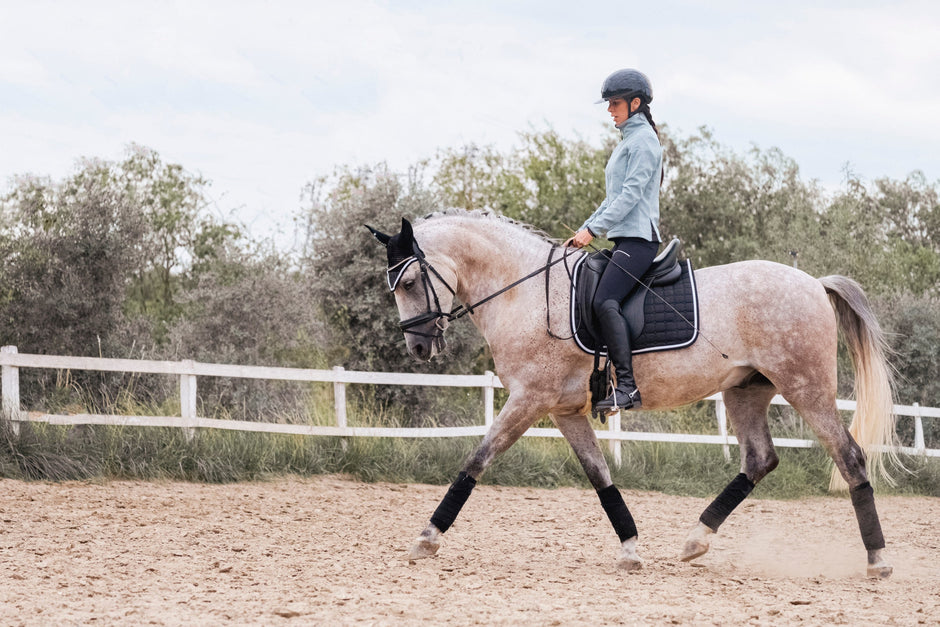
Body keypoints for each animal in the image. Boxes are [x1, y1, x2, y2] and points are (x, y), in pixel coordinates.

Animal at [366, 210, 896, 580]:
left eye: (409, 282)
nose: (418, 346)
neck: (526, 294)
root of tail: (815, 284)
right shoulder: (563, 411)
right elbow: (600, 478)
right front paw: (630, 549)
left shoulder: (528, 400)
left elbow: (476, 461)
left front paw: (427, 539)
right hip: (745, 392)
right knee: (760, 459)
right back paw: (695, 541)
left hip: (806, 388)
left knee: (849, 456)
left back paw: (878, 559)